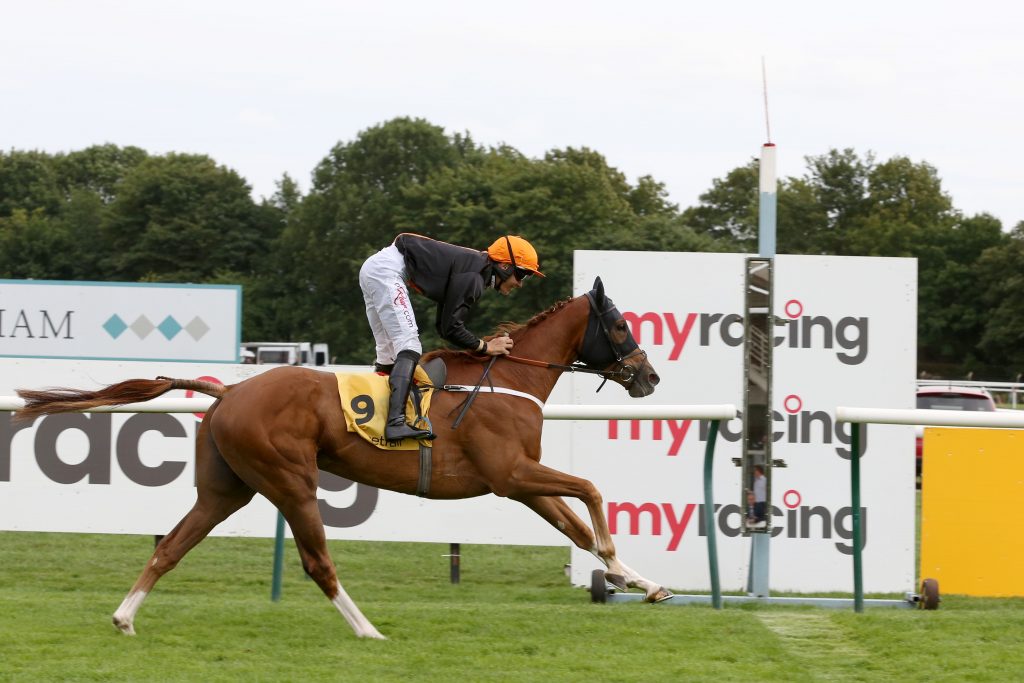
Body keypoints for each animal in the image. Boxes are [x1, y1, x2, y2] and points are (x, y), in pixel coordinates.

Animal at [16, 274, 663, 638]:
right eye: (620, 325)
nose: (650, 376)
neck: (506, 379)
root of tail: (229, 392)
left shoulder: (520, 482)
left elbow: (577, 526)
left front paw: (639, 582)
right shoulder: (511, 472)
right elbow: (592, 493)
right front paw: (620, 571)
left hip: (226, 489)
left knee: (171, 546)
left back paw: (125, 617)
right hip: (290, 480)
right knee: (317, 563)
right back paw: (368, 630)